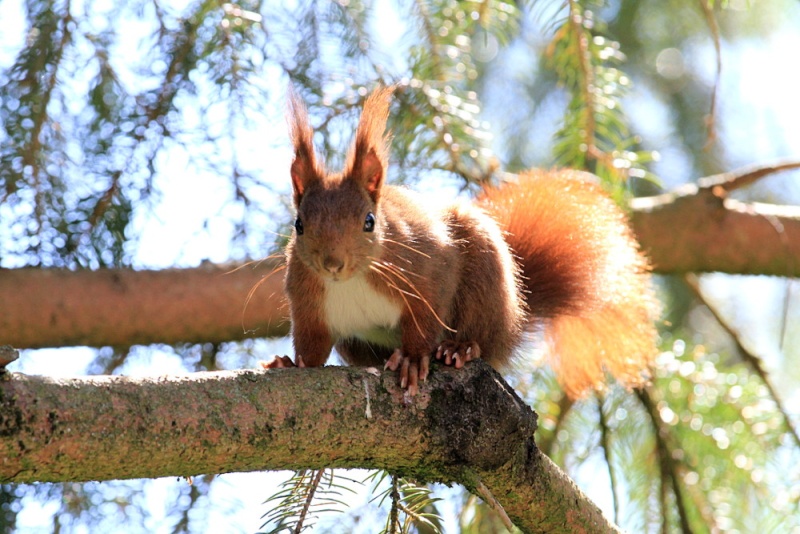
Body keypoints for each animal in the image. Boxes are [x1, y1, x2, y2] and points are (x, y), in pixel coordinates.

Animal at [262, 87, 656, 398]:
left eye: (369, 222)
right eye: (299, 225)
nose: (332, 265)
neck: (353, 280)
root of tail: (512, 325)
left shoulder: (428, 270)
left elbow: (425, 316)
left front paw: (412, 358)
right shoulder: (309, 303)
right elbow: (312, 347)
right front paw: (291, 364)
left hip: (485, 278)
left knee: (482, 340)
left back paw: (460, 348)